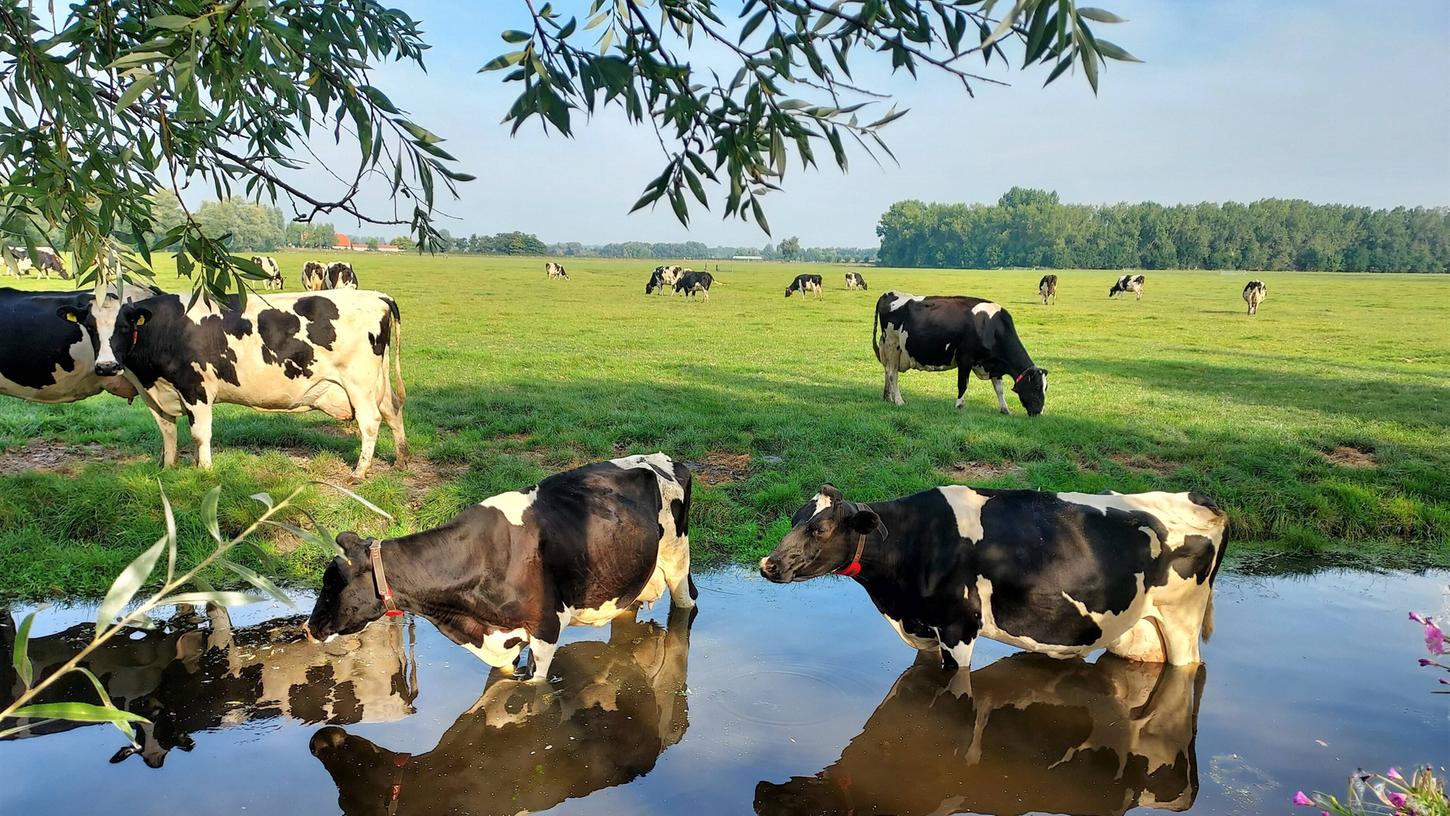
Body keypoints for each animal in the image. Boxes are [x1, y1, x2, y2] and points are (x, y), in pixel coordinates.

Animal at [2, 608, 417, 771]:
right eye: (136, 732)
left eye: (167, 732)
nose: (147, 706)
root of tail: (405, 706)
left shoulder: (222, 656)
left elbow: (215, 620)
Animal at [303, 452, 698, 684]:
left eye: (332, 585)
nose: (308, 629)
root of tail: (664, 458)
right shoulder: (498, 641)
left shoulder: (546, 630)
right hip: (627, 578)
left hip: (678, 559)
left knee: (687, 606)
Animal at [759, 484, 1223, 669]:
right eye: (795, 519)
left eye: (820, 528)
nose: (768, 564)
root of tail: (1201, 499)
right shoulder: (925, 630)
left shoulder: (958, 628)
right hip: (1138, 634)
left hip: (1182, 622)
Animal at [864, 289, 1049, 414]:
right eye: (1036, 387)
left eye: (1045, 388)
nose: (1039, 412)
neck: (991, 327)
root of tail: (889, 293)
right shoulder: (965, 358)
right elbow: (963, 384)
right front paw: (959, 405)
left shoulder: (994, 364)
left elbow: (999, 388)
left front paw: (1005, 409)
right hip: (892, 344)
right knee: (892, 374)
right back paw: (899, 400)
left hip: (889, 348)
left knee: (887, 371)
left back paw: (887, 397)